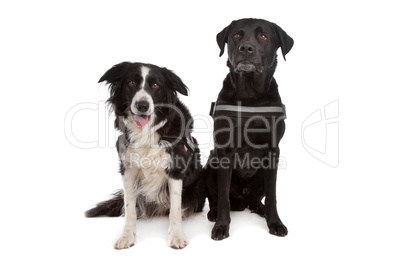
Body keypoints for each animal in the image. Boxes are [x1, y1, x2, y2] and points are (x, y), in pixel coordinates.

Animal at [87, 62, 206, 249]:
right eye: (131, 83)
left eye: (155, 85)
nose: (142, 105)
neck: (146, 133)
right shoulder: (128, 168)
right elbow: (129, 207)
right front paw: (126, 236)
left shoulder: (175, 169)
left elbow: (175, 208)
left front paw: (177, 235)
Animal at [206, 19, 294, 241]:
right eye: (236, 35)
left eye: (263, 36)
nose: (246, 48)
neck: (250, 96)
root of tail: (242, 199)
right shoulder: (224, 152)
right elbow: (223, 199)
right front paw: (221, 226)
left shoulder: (273, 152)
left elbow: (272, 196)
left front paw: (275, 223)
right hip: (211, 163)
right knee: (216, 198)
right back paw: (213, 213)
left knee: (257, 198)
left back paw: (259, 208)